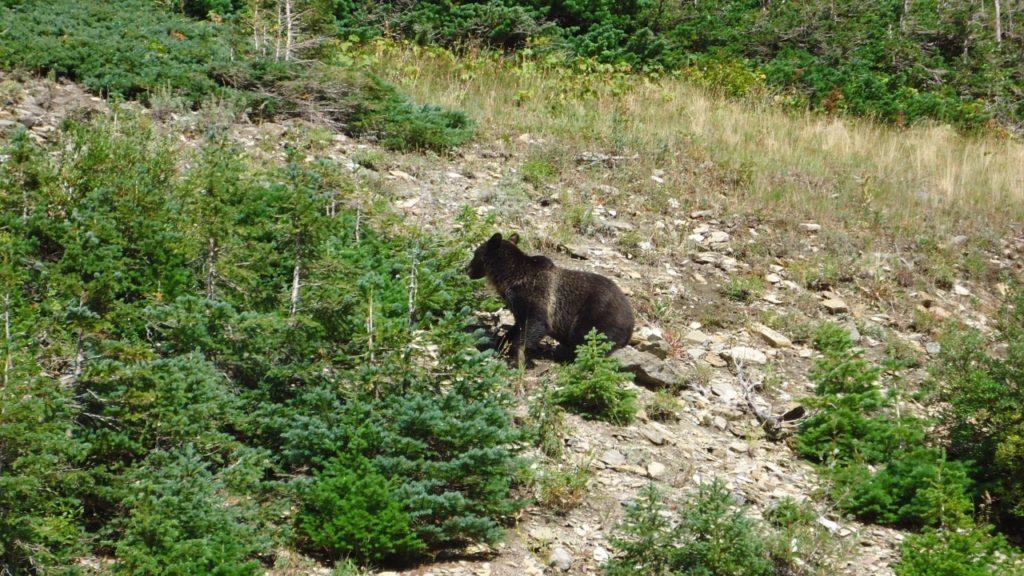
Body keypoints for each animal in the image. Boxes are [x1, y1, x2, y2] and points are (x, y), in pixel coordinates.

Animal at [466, 230, 630, 364]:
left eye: (475, 254)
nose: (467, 269)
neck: (509, 277)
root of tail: (631, 320)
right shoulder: (517, 304)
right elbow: (519, 324)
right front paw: (502, 342)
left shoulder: (537, 293)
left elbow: (536, 323)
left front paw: (517, 353)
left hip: (597, 313)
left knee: (586, 336)